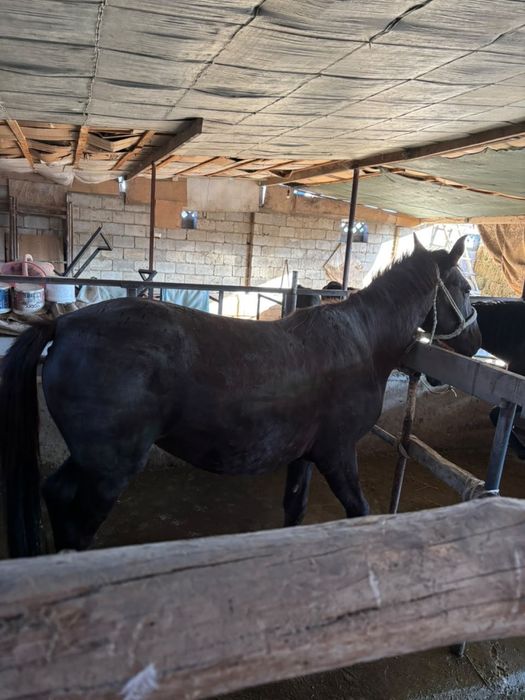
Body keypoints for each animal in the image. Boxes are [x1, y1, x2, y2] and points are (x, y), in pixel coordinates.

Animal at [0, 236, 481, 557]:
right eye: (465, 287)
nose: (475, 343)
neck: (362, 342)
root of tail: (64, 325)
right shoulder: (338, 453)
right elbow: (359, 511)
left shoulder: (305, 456)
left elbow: (295, 510)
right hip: (109, 470)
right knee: (80, 524)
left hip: (91, 459)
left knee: (56, 493)